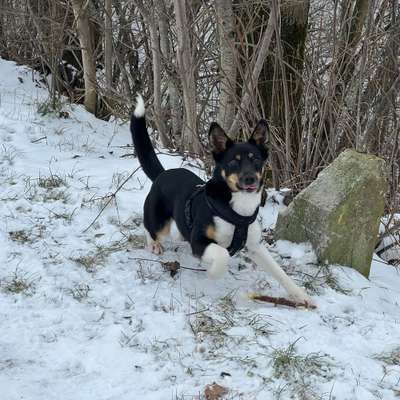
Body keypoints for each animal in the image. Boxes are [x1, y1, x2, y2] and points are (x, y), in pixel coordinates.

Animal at [130, 95, 314, 308]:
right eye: (233, 161)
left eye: (256, 160)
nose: (250, 179)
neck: (237, 209)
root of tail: (163, 173)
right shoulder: (199, 241)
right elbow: (222, 254)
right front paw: (213, 272)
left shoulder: (255, 246)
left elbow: (279, 271)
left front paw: (300, 295)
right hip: (159, 222)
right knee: (149, 227)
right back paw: (154, 244)